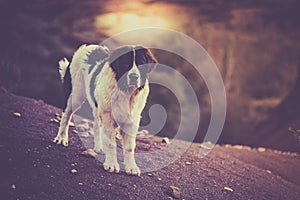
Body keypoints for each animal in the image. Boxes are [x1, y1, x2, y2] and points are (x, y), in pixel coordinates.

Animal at [53, 44, 157, 175]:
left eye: (141, 63)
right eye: (126, 63)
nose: (134, 77)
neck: (124, 90)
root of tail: (88, 46)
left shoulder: (131, 119)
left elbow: (129, 146)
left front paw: (132, 167)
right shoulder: (108, 115)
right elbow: (111, 143)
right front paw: (112, 164)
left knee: (97, 125)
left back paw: (99, 147)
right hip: (75, 95)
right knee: (66, 115)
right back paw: (61, 138)